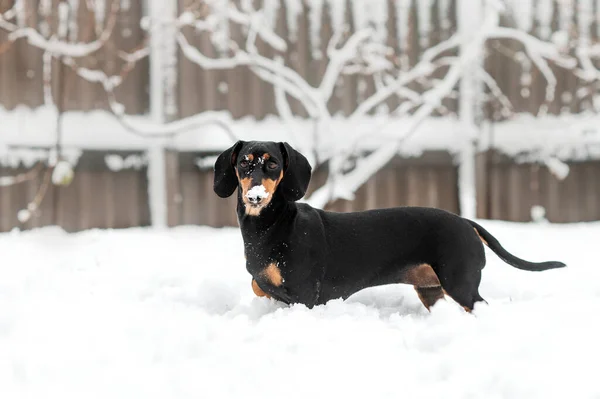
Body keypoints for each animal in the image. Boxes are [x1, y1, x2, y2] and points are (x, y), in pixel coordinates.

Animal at [213, 141, 564, 312]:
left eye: (273, 163)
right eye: (244, 163)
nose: (256, 195)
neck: (272, 226)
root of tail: (466, 222)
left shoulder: (305, 296)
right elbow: (258, 285)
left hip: (461, 283)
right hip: (432, 290)